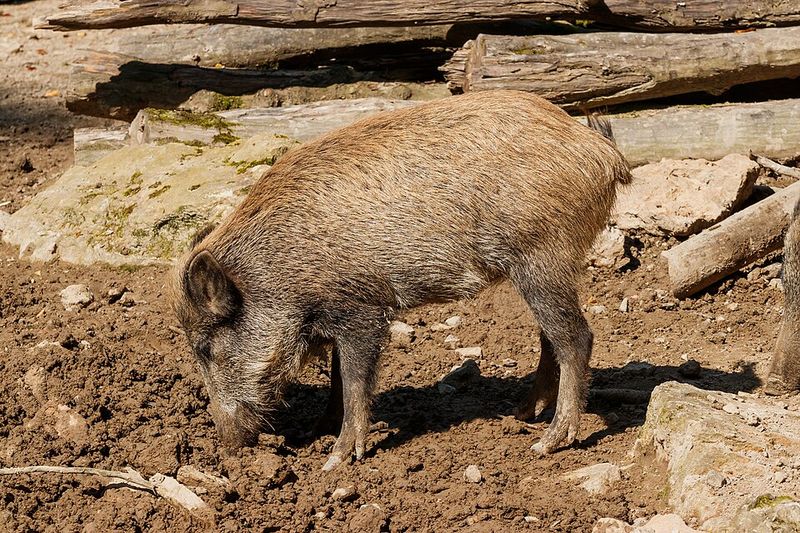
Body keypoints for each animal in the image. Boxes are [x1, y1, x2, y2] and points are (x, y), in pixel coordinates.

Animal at [171, 90, 631, 470]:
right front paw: (317, 431)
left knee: (576, 338)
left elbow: (354, 380)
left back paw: (547, 443)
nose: (229, 446)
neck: (276, 270)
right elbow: (337, 378)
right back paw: (522, 414)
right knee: (549, 337)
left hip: (542, 257)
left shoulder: (361, 311)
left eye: (206, 348)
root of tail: (602, 150)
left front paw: (335, 460)